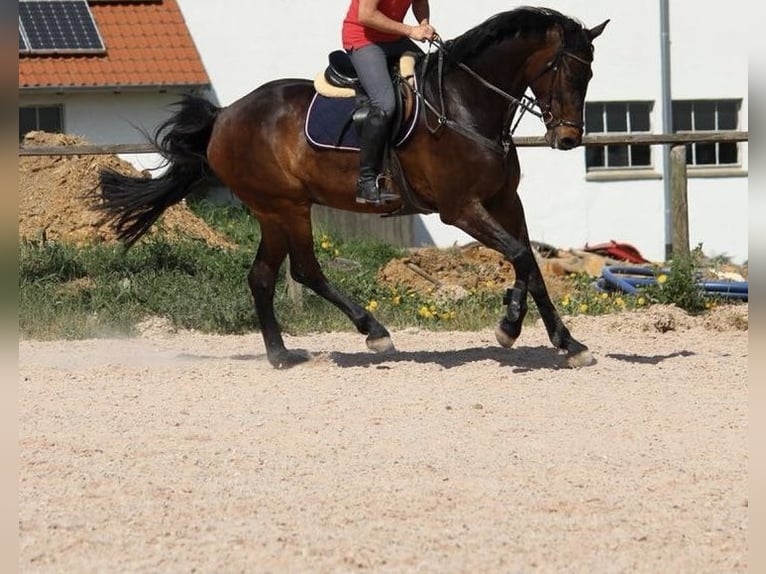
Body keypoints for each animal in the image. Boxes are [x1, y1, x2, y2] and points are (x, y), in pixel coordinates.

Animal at [95, 7, 609, 370]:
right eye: (566, 71)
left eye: (589, 75)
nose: (568, 139)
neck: (466, 104)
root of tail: (224, 116)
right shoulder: (461, 208)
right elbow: (519, 255)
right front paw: (510, 325)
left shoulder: (505, 200)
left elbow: (531, 264)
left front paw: (565, 342)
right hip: (285, 206)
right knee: (304, 271)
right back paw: (373, 330)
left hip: (275, 212)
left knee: (262, 276)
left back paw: (282, 355)